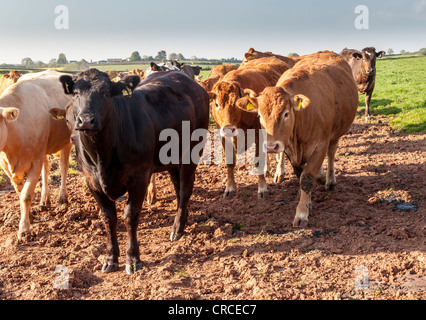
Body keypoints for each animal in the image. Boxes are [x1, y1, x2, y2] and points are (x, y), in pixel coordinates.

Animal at [0, 70, 72, 240]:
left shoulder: (35, 161)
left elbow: (26, 195)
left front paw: (24, 229)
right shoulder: (4, 165)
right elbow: (19, 192)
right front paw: (29, 216)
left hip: (67, 141)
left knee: (63, 167)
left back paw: (62, 199)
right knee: (47, 167)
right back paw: (45, 200)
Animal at [57, 69, 208, 274]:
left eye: (105, 92)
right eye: (75, 93)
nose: (86, 120)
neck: (101, 155)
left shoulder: (140, 178)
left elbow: (130, 216)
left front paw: (133, 258)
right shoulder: (92, 182)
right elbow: (109, 218)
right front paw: (110, 258)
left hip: (192, 152)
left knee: (185, 189)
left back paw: (177, 229)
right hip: (172, 158)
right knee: (178, 188)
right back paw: (182, 220)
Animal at [209, 56, 292, 199]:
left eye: (236, 104)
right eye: (217, 104)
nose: (228, 129)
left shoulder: (258, 133)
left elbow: (258, 161)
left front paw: (262, 188)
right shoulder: (223, 136)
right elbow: (230, 161)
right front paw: (230, 188)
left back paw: (279, 172)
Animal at [236, 51, 360, 228]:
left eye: (286, 114)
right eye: (259, 115)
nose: (271, 147)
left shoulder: (320, 145)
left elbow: (307, 178)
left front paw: (301, 213)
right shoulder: (289, 149)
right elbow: (300, 174)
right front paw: (308, 202)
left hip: (335, 135)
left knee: (331, 153)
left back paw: (330, 180)